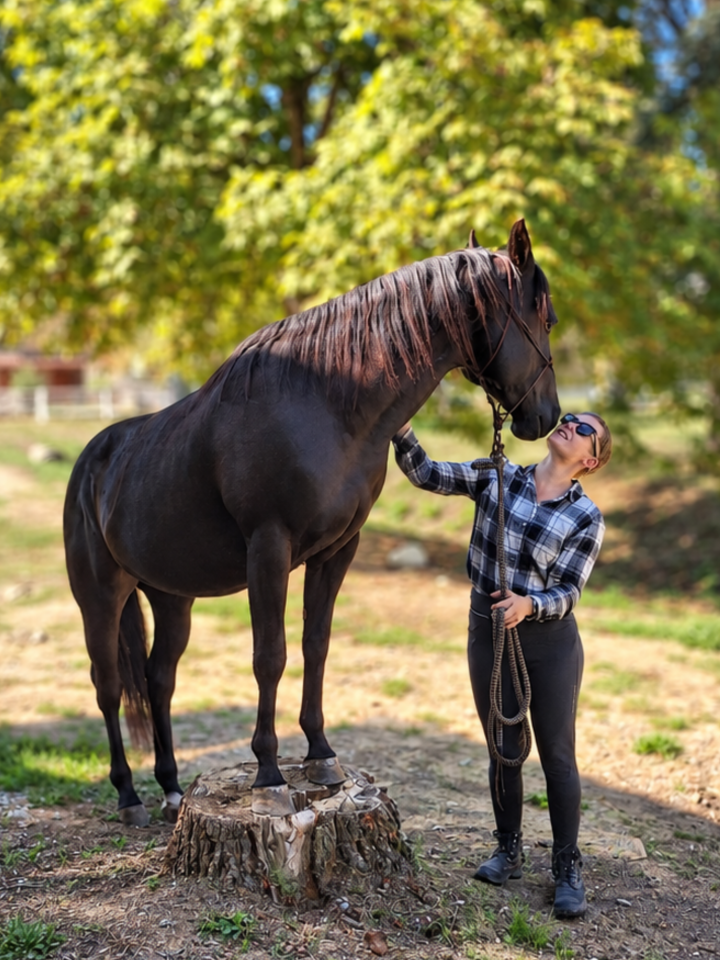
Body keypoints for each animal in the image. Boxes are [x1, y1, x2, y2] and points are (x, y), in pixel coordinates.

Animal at [63, 219, 560, 825]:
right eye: (545, 318)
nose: (548, 417)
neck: (325, 404)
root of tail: (94, 457)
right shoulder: (269, 549)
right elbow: (270, 656)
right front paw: (269, 777)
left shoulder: (337, 550)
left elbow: (315, 645)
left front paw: (322, 757)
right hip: (101, 594)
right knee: (108, 686)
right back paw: (129, 795)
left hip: (170, 596)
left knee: (159, 680)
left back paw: (173, 788)